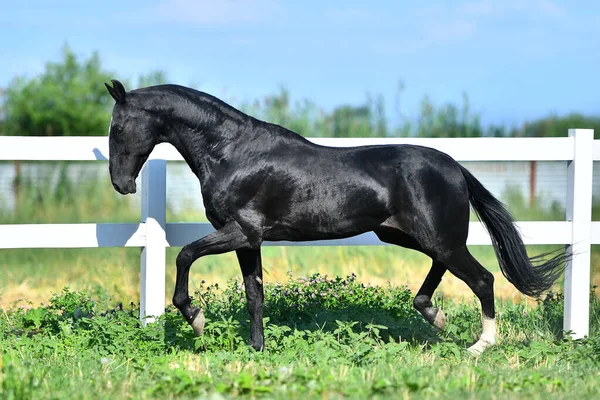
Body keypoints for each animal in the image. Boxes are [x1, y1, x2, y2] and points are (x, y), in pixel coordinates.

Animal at [103, 79, 568, 354]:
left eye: (118, 128)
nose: (122, 185)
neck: (233, 153)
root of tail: (455, 167)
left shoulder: (240, 231)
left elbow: (185, 254)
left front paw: (195, 319)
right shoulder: (250, 240)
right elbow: (254, 294)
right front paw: (257, 349)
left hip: (436, 237)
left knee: (483, 279)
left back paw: (480, 345)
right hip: (405, 235)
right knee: (445, 269)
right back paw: (434, 315)